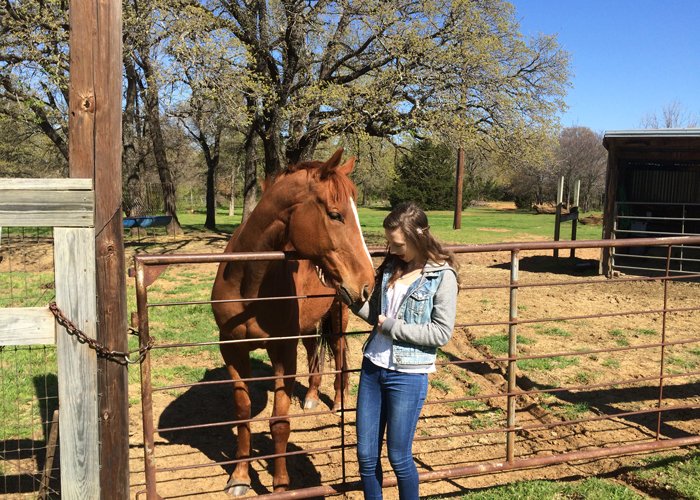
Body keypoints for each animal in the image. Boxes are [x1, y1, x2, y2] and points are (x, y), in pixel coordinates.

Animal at [211, 148, 378, 496]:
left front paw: (280, 485)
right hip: (309, 324)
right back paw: (312, 397)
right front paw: (239, 478)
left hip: (338, 316)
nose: (368, 284)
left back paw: (337, 401)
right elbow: (243, 414)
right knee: (314, 351)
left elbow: (279, 423)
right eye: (335, 214)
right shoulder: (232, 349)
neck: (249, 281)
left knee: (339, 355)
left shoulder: (282, 352)